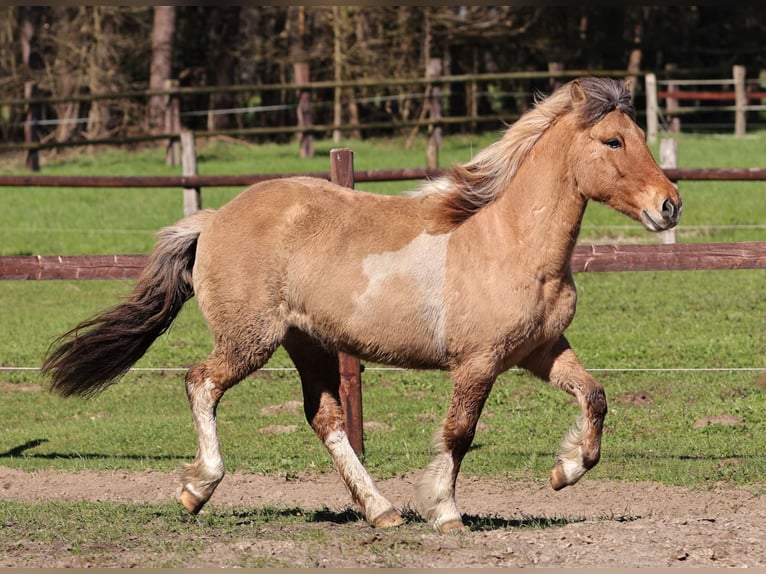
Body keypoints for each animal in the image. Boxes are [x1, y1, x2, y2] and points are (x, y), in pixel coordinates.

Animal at [40, 77, 684, 536]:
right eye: (613, 141)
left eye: (640, 137)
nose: (670, 205)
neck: (507, 241)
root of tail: (214, 218)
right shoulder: (477, 363)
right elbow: (459, 432)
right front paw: (446, 511)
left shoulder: (540, 351)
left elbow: (595, 397)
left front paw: (563, 472)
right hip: (251, 340)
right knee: (201, 382)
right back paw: (198, 489)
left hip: (308, 344)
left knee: (324, 419)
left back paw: (381, 511)